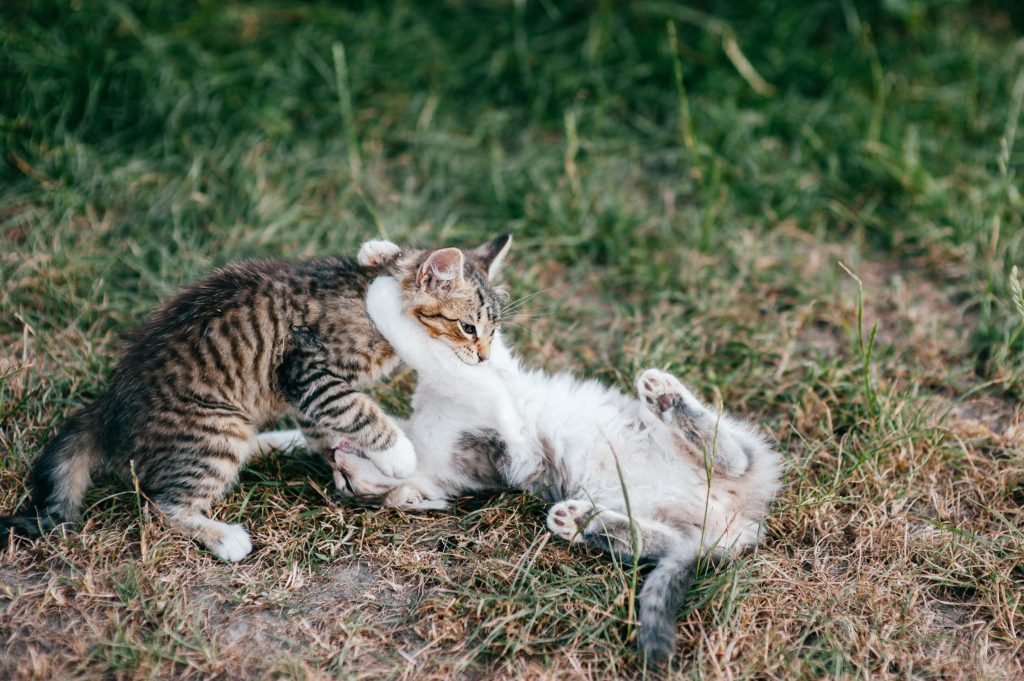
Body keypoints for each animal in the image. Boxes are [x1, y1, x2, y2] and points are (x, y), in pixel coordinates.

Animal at [0, 233, 512, 557]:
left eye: (492, 331)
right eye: (468, 328)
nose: (484, 357)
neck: (362, 295)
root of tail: (111, 405)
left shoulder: (304, 394)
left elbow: (328, 427)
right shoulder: (307, 370)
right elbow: (357, 409)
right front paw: (399, 455)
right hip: (217, 429)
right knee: (162, 505)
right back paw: (224, 539)